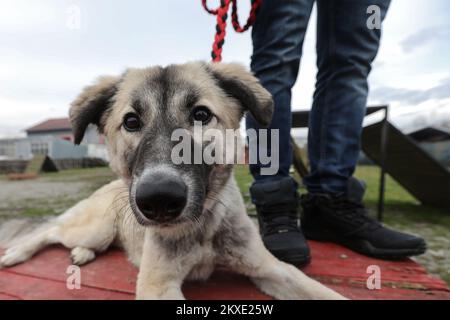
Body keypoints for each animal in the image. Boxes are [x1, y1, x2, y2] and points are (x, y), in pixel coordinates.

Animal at [0, 62, 344, 300]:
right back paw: (17, 253)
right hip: (97, 227)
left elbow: (324, 292)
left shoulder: (272, 268)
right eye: (131, 122)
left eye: (201, 115)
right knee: (50, 230)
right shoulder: (157, 284)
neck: (202, 227)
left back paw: (82, 254)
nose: (159, 199)